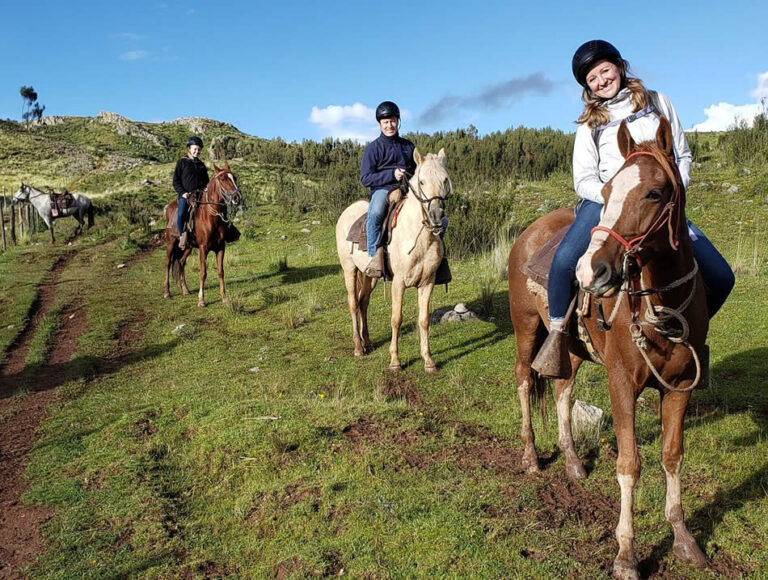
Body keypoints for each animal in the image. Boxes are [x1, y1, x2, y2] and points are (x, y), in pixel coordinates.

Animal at [164, 163, 242, 308]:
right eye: (222, 178)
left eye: (234, 177)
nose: (237, 197)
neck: (211, 217)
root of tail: (169, 207)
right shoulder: (203, 248)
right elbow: (203, 272)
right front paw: (201, 300)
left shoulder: (220, 248)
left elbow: (221, 271)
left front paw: (224, 298)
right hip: (171, 242)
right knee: (167, 263)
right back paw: (167, 292)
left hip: (187, 247)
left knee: (181, 262)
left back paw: (185, 290)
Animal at [336, 147, 450, 370]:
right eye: (421, 182)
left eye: (445, 180)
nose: (436, 217)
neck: (418, 238)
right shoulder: (398, 283)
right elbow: (396, 319)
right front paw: (395, 361)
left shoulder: (428, 282)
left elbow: (424, 320)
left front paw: (428, 360)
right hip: (349, 270)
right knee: (353, 303)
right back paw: (358, 347)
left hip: (369, 275)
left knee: (363, 302)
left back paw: (368, 342)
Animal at [508, 115, 712, 576]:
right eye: (604, 193)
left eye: (654, 192)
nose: (592, 271)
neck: (661, 305)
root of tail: (528, 232)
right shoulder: (621, 383)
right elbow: (629, 464)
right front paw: (626, 555)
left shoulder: (680, 386)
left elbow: (673, 455)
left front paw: (684, 538)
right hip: (526, 328)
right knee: (526, 382)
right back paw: (531, 457)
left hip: (572, 350)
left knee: (562, 391)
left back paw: (571, 462)